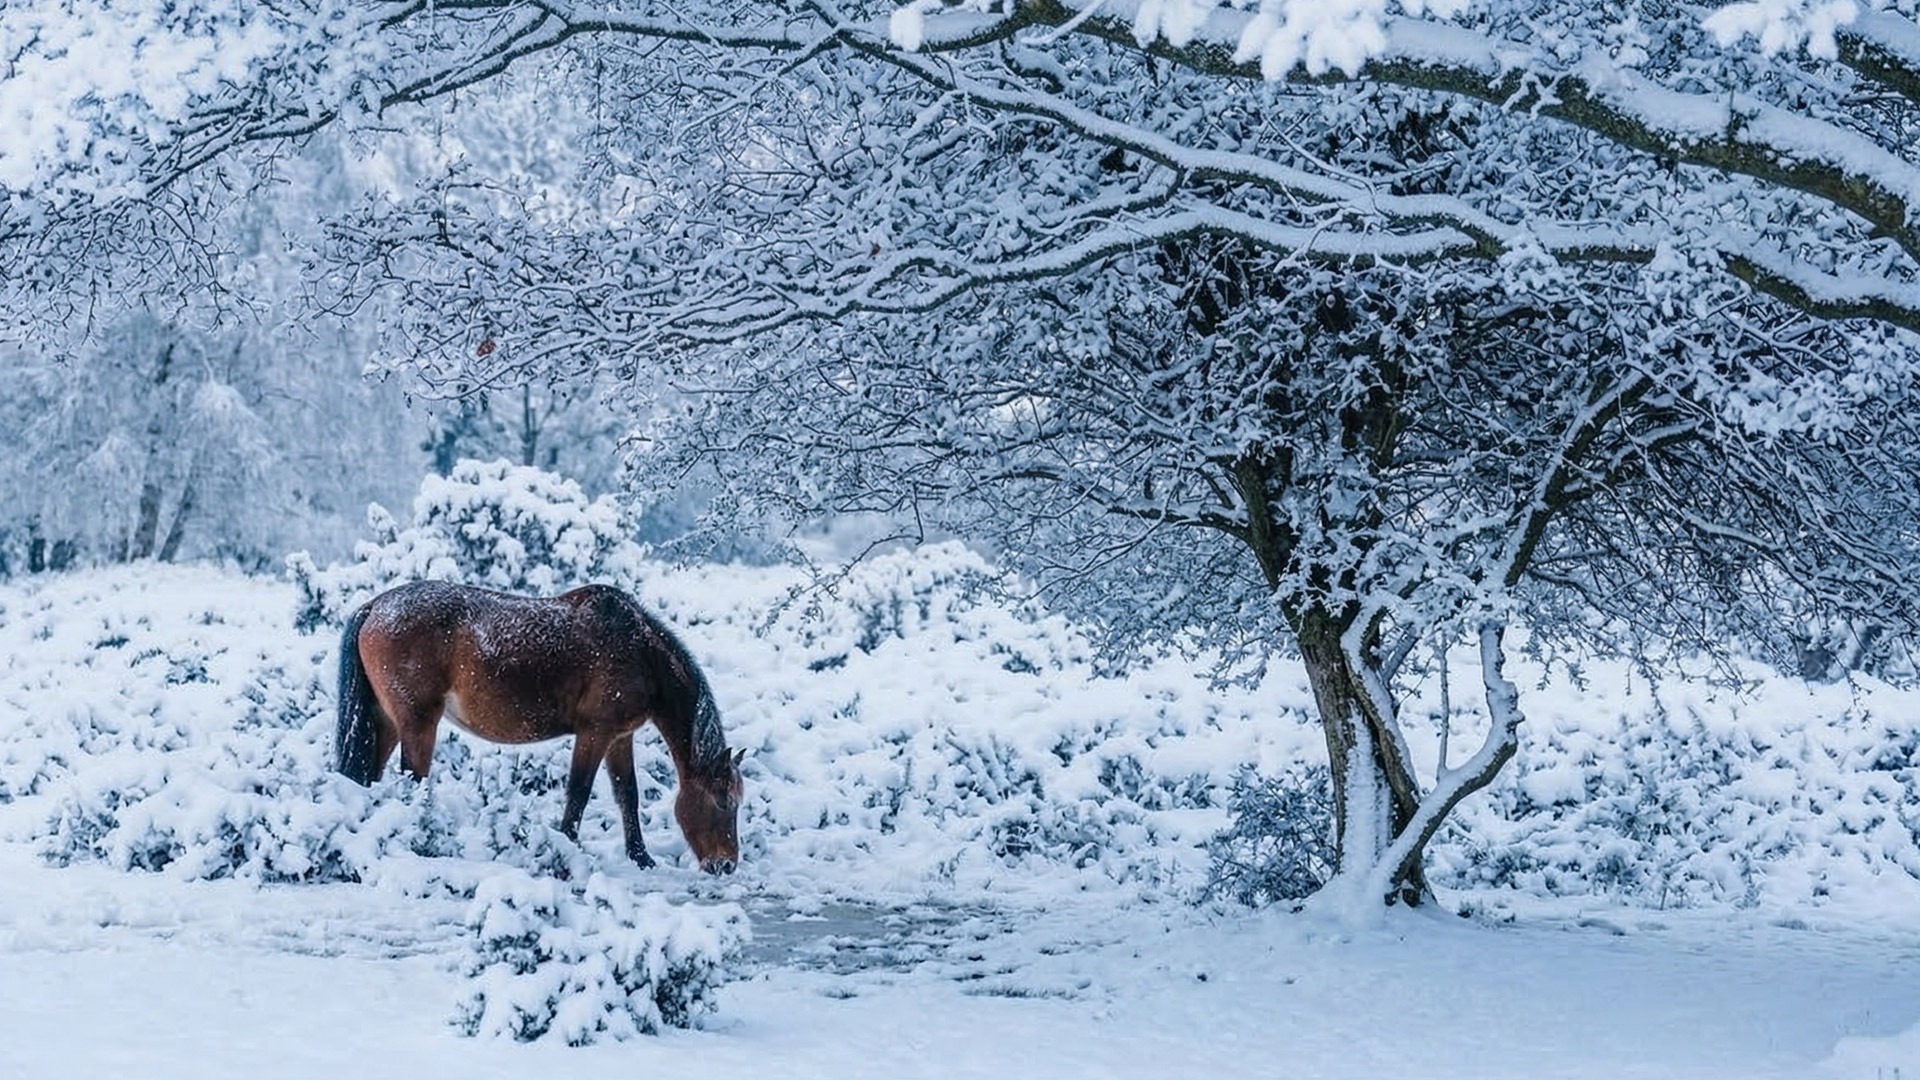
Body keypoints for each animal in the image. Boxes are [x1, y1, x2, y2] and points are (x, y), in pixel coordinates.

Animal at [334, 580, 743, 874]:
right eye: (722, 800)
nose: (725, 865)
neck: (639, 651)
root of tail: (374, 607)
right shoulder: (595, 733)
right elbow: (579, 792)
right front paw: (565, 849)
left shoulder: (619, 738)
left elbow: (628, 795)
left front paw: (641, 858)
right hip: (418, 723)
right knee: (412, 780)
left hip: (386, 721)